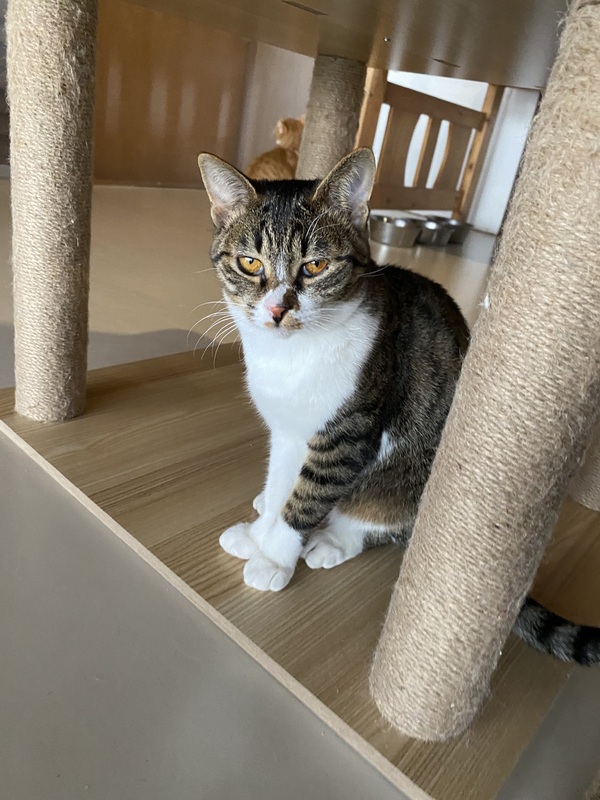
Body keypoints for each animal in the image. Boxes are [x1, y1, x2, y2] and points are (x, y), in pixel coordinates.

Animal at [197, 147, 600, 666]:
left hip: (403, 480)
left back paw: (333, 540)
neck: (291, 357)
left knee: (378, 520)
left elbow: (308, 496)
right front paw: (258, 532)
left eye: (315, 266)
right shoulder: (287, 429)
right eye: (249, 262)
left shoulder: (350, 432)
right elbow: (283, 477)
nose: (276, 309)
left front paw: (273, 555)